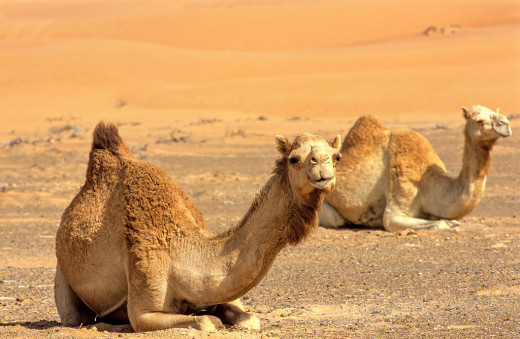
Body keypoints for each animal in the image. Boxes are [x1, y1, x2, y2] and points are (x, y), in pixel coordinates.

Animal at [54, 122, 344, 332]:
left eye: (336, 157)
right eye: (294, 158)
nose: (322, 166)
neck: (184, 252)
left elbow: (250, 320)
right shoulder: (143, 301)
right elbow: (207, 322)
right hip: (63, 277)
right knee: (75, 317)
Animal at [320, 105, 512, 234]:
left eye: (496, 111)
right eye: (479, 121)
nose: (506, 123)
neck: (427, 182)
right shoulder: (397, 206)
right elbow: (440, 223)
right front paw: (451, 223)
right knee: (337, 220)